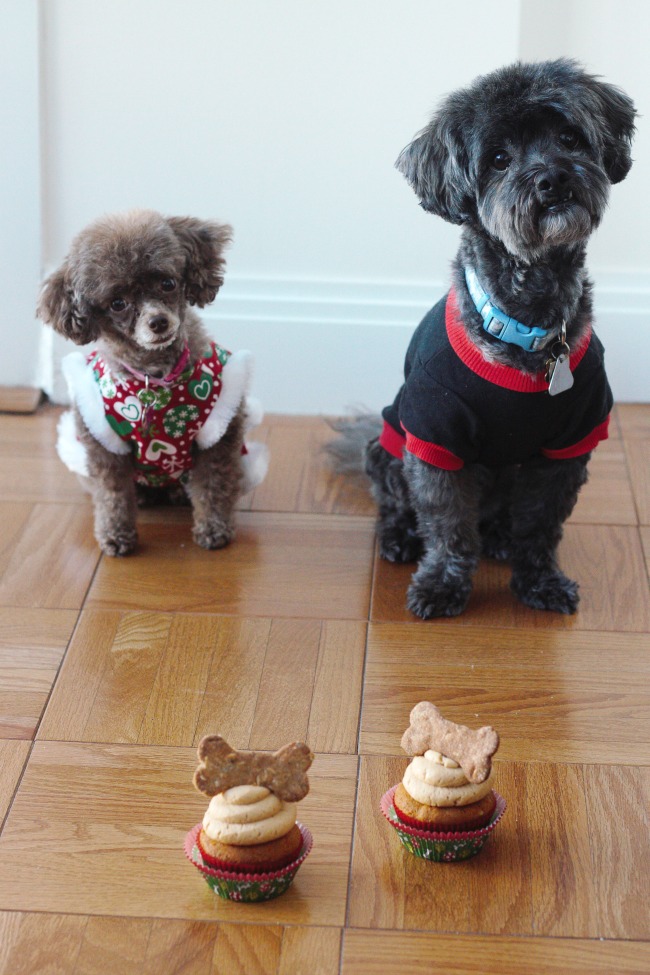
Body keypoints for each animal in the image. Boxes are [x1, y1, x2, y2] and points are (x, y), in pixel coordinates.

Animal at [38, 209, 268, 552]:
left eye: (168, 283)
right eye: (117, 303)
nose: (158, 322)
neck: (154, 380)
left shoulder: (218, 439)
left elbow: (213, 489)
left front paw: (214, 530)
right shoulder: (104, 446)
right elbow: (113, 496)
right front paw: (115, 535)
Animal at [330, 61, 632, 620]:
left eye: (569, 138)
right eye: (497, 159)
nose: (553, 178)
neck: (528, 325)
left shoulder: (566, 449)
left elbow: (540, 527)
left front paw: (540, 581)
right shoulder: (436, 444)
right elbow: (449, 530)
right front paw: (441, 586)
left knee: (504, 519)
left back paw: (499, 537)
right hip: (389, 445)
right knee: (395, 506)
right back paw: (400, 539)